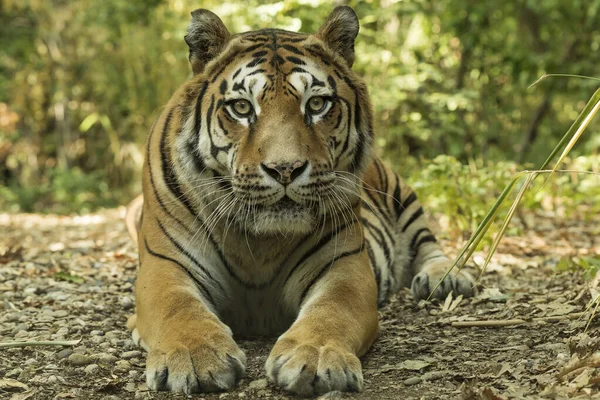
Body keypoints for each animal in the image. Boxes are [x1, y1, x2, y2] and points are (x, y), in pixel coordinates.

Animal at [124, 6, 476, 396]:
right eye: (242, 107)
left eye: (317, 104)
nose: (285, 169)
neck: (258, 245)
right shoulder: (164, 266)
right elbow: (178, 308)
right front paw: (195, 356)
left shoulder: (344, 266)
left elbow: (332, 311)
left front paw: (316, 356)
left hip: (403, 195)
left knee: (428, 243)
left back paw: (443, 278)